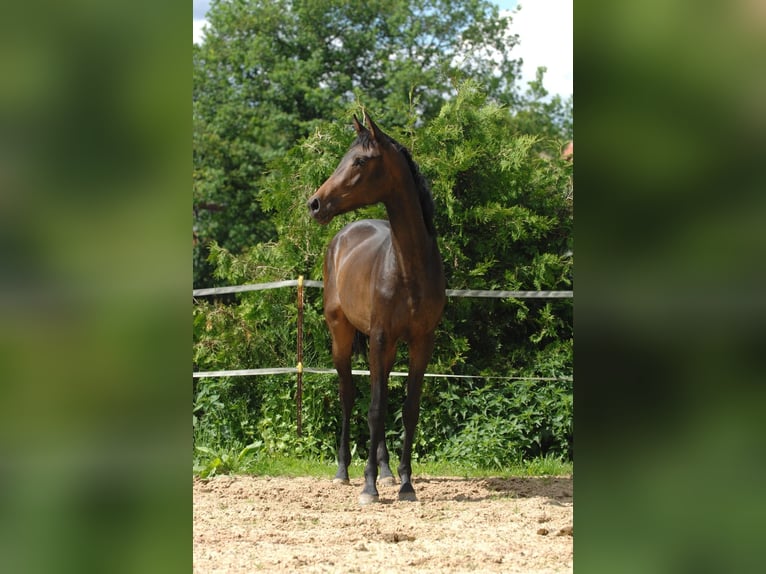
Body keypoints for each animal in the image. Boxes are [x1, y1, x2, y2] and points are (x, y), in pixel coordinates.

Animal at [308, 111, 448, 504]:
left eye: (359, 161)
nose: (315, 204)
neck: (408, 267)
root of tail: (342, 237)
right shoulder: (381, 338)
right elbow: (374, 409)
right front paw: (368, 486)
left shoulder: (420, 342)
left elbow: (408, 409)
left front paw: (405, 483)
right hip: (342, 337)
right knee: (348, 396)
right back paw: (344, 471)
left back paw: (386, 472)